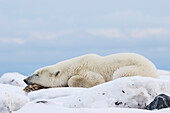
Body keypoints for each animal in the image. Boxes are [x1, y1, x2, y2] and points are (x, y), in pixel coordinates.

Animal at [23, 53, 159, 92]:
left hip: (134, 68)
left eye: (37, 74)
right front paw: (31, 88)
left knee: (120, 74)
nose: (25, 79)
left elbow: (96, 79)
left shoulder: (88, 69)